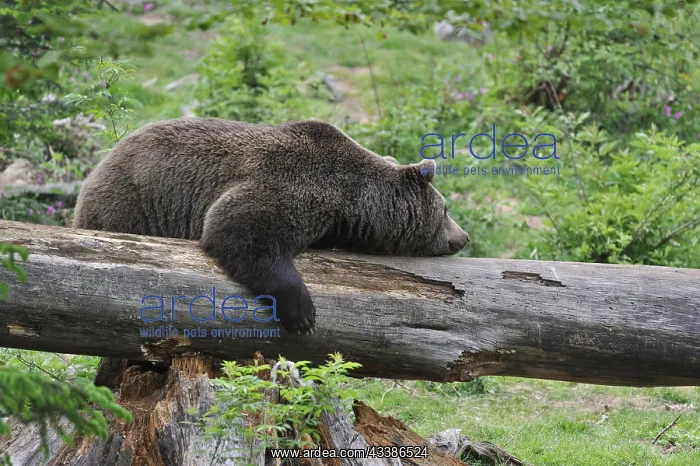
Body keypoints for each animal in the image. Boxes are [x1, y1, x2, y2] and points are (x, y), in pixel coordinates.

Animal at [73, 118, 470, 333]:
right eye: (446, 208)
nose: (463, 237)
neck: (351, 202)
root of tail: (99, 167)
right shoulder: (294, 185)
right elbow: (238, 227)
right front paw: (303, 313)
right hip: (131, 201)